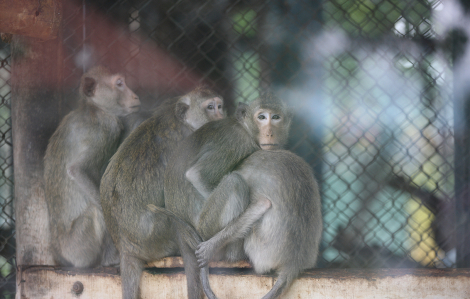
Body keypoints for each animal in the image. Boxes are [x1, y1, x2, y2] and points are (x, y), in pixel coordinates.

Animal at [43, 65, 140, 268]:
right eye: (120, 83)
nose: (135, 96)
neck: (93, 107)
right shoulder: (108, 127)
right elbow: (77, 170)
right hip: (79, 246)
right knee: (96, 210)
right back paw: (110, 259)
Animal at [100, 86, 225, 299]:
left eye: (220, 106)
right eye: (210, 107)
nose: (221, 115)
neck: (181, 120)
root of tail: (125, 247)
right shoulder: (190, 144)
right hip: (155, 237)